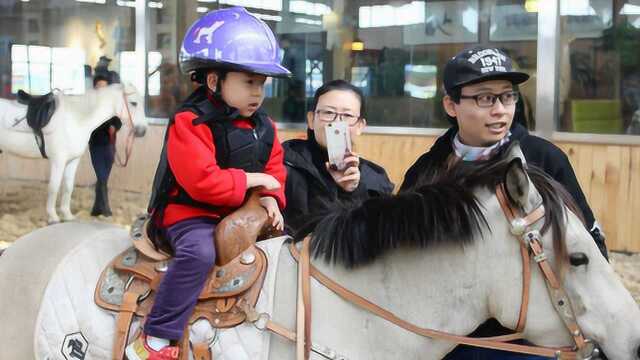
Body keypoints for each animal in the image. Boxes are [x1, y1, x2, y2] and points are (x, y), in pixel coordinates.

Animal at [0, 84, 147, 225]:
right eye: (134, 103)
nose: (143, 130)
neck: (76, 118)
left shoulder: (73, 160)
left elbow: (68, 187)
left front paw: (67, 215)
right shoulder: (58, 161)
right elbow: (53, 187)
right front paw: (53, 217)